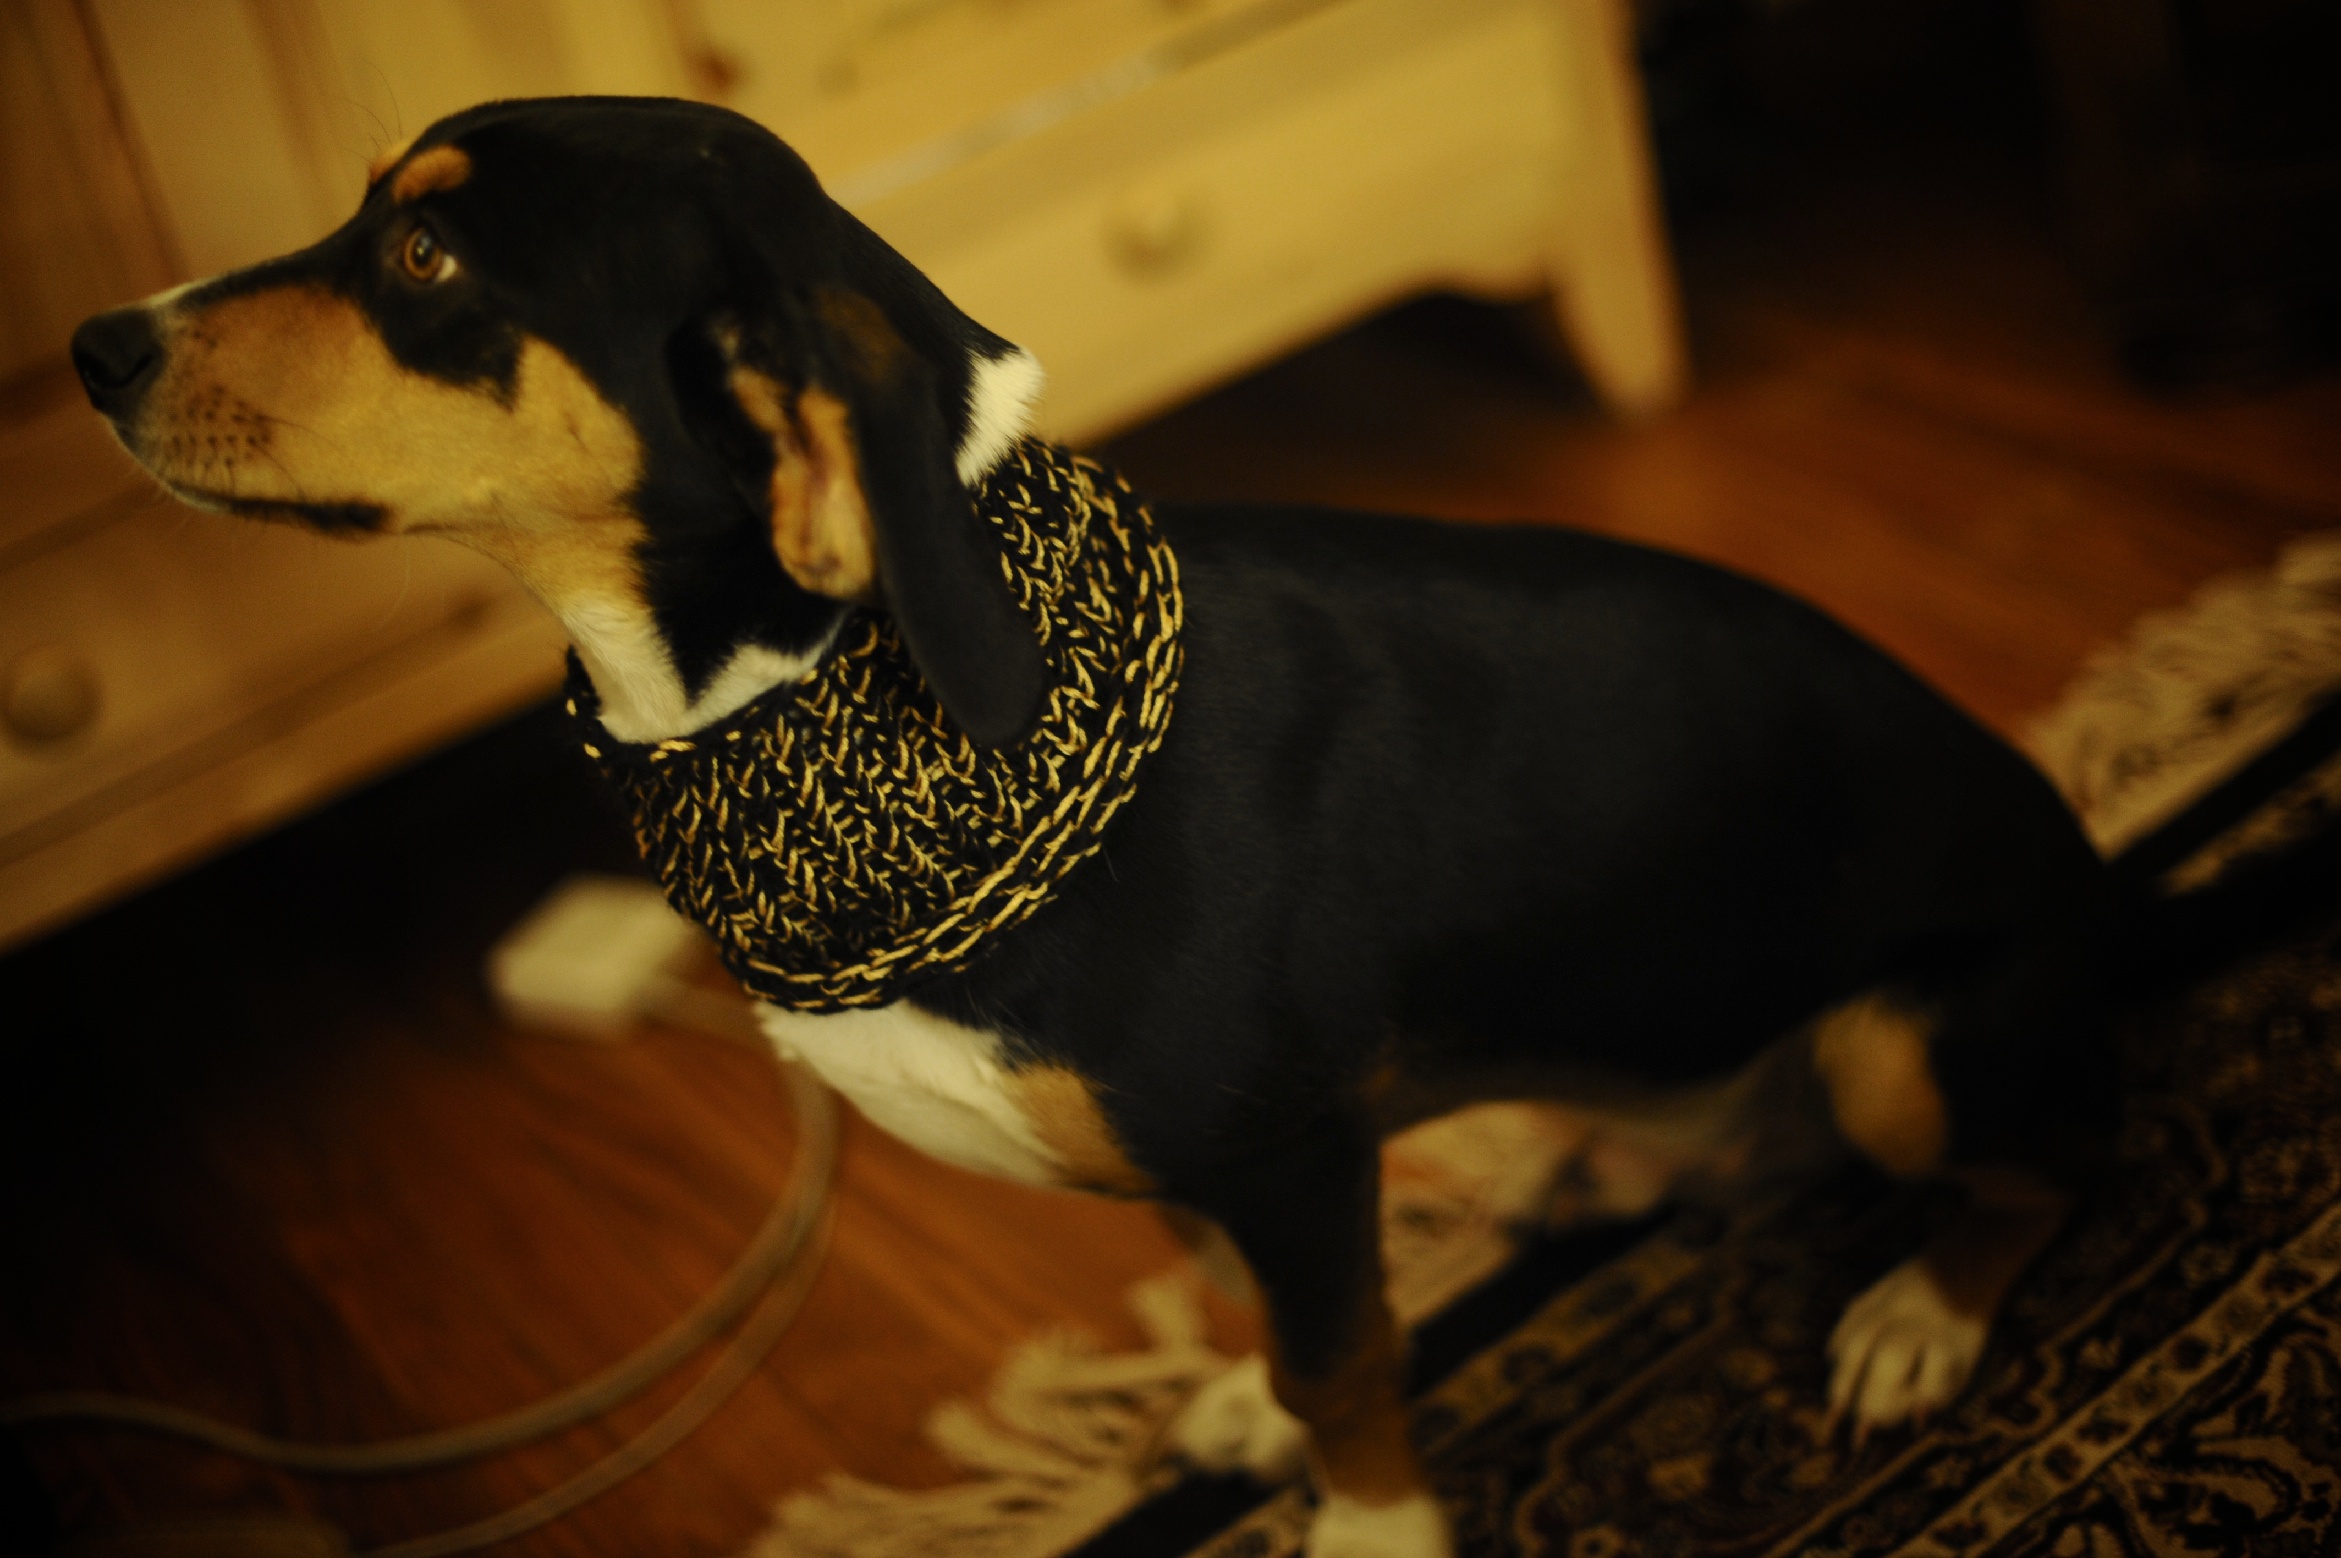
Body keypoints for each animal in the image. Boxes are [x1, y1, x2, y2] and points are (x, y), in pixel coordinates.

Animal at [72, 97, 2117, 1558]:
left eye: (423, 252)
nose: (91, 345)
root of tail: (2100, 874)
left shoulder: (1284, 1146)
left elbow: (1341, 1354)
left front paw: (1367, 1527)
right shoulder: (1237, 1171)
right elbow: (1255, 1304)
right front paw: (1251, 1413)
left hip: (1903, 1052)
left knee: (2034, 1173)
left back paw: (1918, 1315)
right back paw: (1586, 1170)